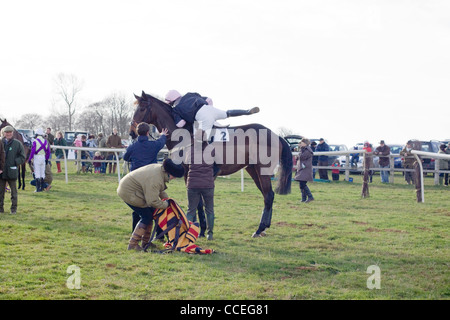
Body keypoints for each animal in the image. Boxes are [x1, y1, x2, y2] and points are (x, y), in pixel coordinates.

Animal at [129, 91, 296, 236]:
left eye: (142, 108)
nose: (132, 131)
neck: (185, 135)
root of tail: (276, 135)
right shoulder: (188, 174)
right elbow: (196, 202)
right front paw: (199, 228)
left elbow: (199, 202)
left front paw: (201, 229)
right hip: (253, 169)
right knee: (268, 195)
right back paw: (264, 227)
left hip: (263, 170)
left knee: (268, 195)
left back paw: (259, 229)